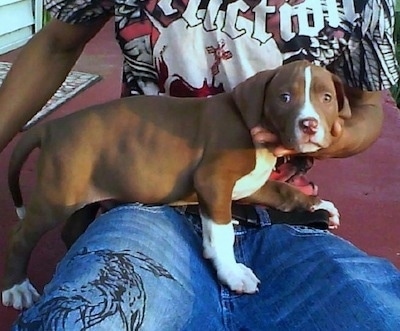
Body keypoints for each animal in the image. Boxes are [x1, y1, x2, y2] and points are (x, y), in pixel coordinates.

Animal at [1, 60, 348, 312]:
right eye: (284, 97)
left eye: (326, 98)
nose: (309, 125)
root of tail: (51, 127)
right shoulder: (213, 180)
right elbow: (221, 232)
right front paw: (232, 272)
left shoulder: (250, 184)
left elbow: (283, 192)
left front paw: (318, 206)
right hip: (57, 194)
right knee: (19, 237)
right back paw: (17, 288)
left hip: (82, 194)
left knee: (70, 230)